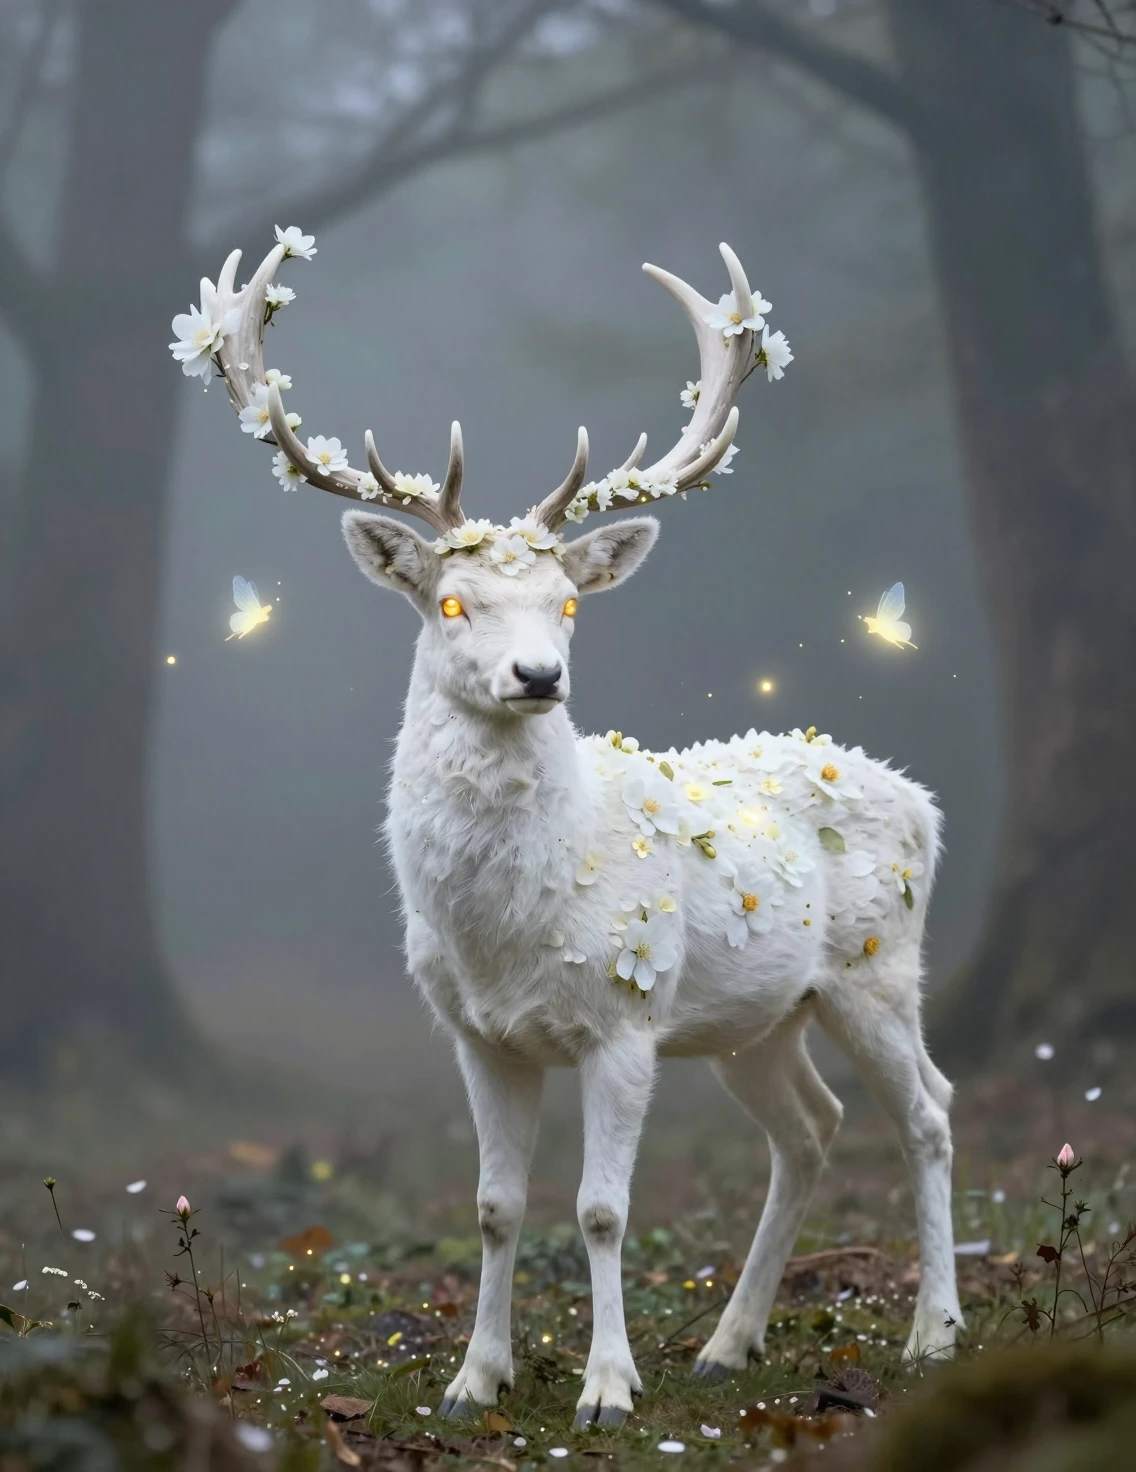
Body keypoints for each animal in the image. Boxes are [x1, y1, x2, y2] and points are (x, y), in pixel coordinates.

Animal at [171, 227, 963, 1426]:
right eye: (452, 602)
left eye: (571, 604)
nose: (539, 676)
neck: (506, 928)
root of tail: (919, 798)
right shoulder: (477, 1033)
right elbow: (496, 1204)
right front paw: (474, 1378)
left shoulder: (625, 1019)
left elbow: (600, 1208)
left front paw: (605, 1388)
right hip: (756, 1018)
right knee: (812, 1126)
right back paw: (727, 1344)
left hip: (876, 965)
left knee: (929, 1110)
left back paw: (932, 1333)